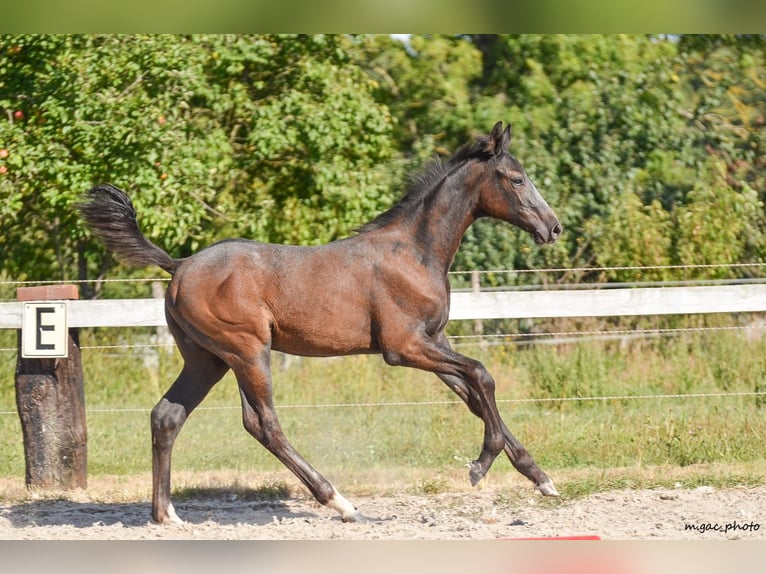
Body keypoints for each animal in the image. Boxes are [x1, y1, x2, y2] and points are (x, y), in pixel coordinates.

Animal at [79, 121, 563, 524]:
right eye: (516, 179)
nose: (554, 228)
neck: (415, 251)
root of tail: (178, 265)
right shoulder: (403, 347)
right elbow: (482, 376)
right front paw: (480, 465)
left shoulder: (433, 342)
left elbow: (474, 395)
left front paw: (541, 478)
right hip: (247, 351)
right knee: (263, 424)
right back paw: (341, 502)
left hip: (207, 360)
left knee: (167, 415)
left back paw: (167, 515)